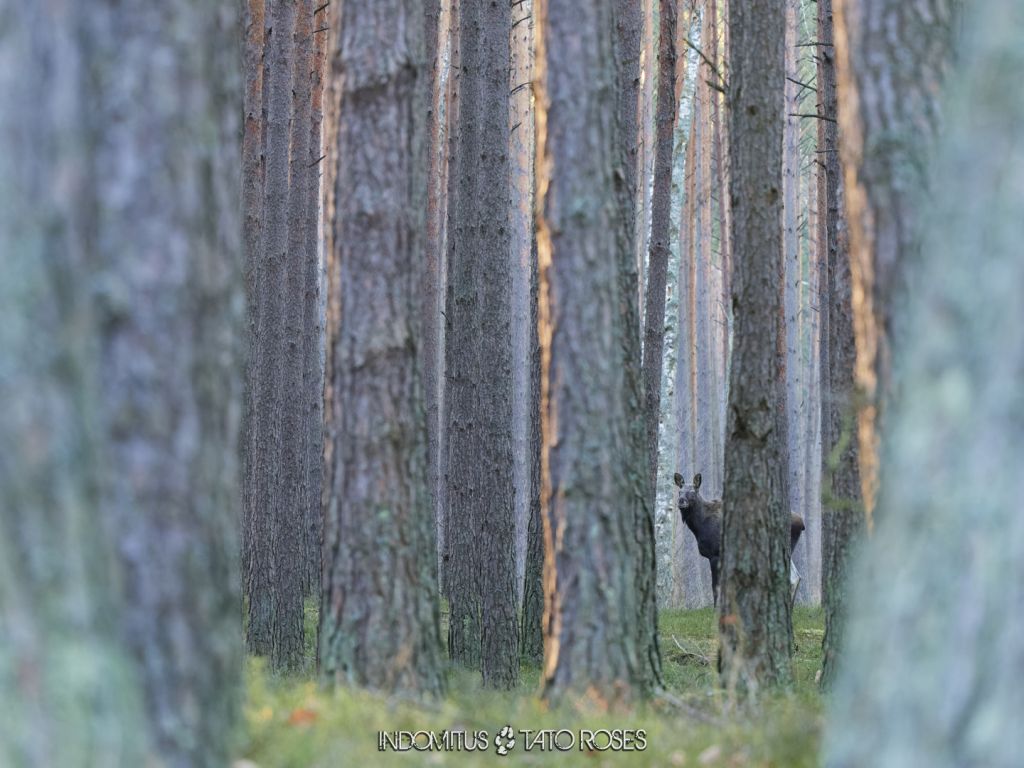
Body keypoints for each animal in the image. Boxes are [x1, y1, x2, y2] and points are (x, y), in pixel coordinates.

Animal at [671, 473, 806, 606]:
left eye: (692, 491)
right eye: (680, 491)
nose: (681, 501)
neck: (699, 526)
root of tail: (802, 523)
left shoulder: (715, 554)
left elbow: (715, 587)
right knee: (796, 577)